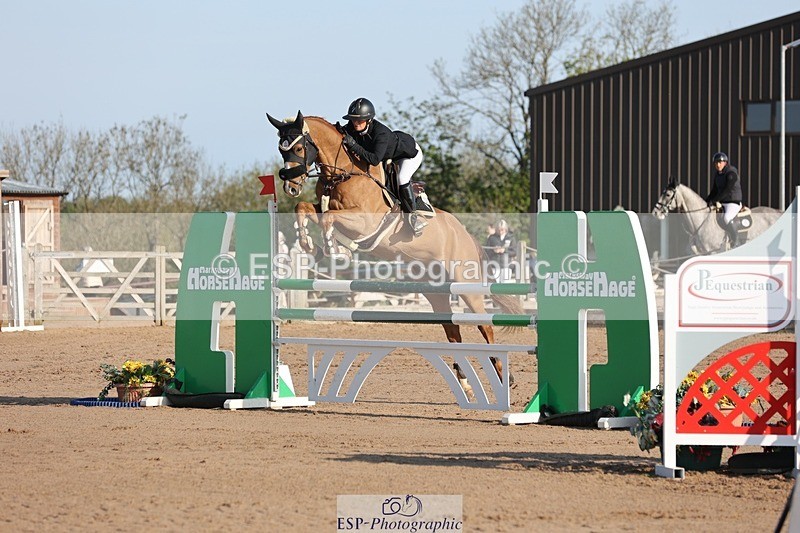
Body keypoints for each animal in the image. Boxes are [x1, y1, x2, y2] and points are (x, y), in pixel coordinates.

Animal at [265, 111, 524, 397]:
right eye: (281, 149)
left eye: (299, 148)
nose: (290, 187)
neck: (344, 173)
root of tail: (465, 234)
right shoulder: (323, 208)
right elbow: (305, 209)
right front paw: (309, 243)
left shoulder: (364, 222)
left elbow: (329, 218)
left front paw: (335, 250)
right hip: (437, 292)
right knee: (453, 330)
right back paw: (466, 384)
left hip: (466, 286)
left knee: (485, 325)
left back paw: (505, 377)